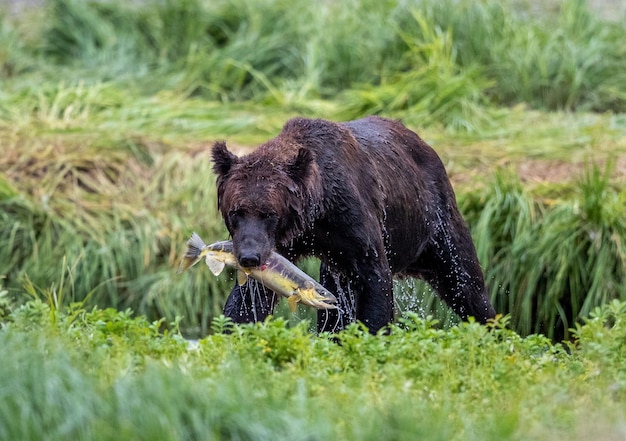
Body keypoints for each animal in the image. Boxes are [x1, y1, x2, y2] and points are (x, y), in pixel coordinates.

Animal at [212, 115, 494, 332]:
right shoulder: (286, 243)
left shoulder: (353, 223)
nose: (249, 257)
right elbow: (252, 296)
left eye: (269, 213)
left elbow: (375, 281)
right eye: (236, 211)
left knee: (463, 281)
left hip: (435, 221)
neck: (317, 213)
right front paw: (232, 331)